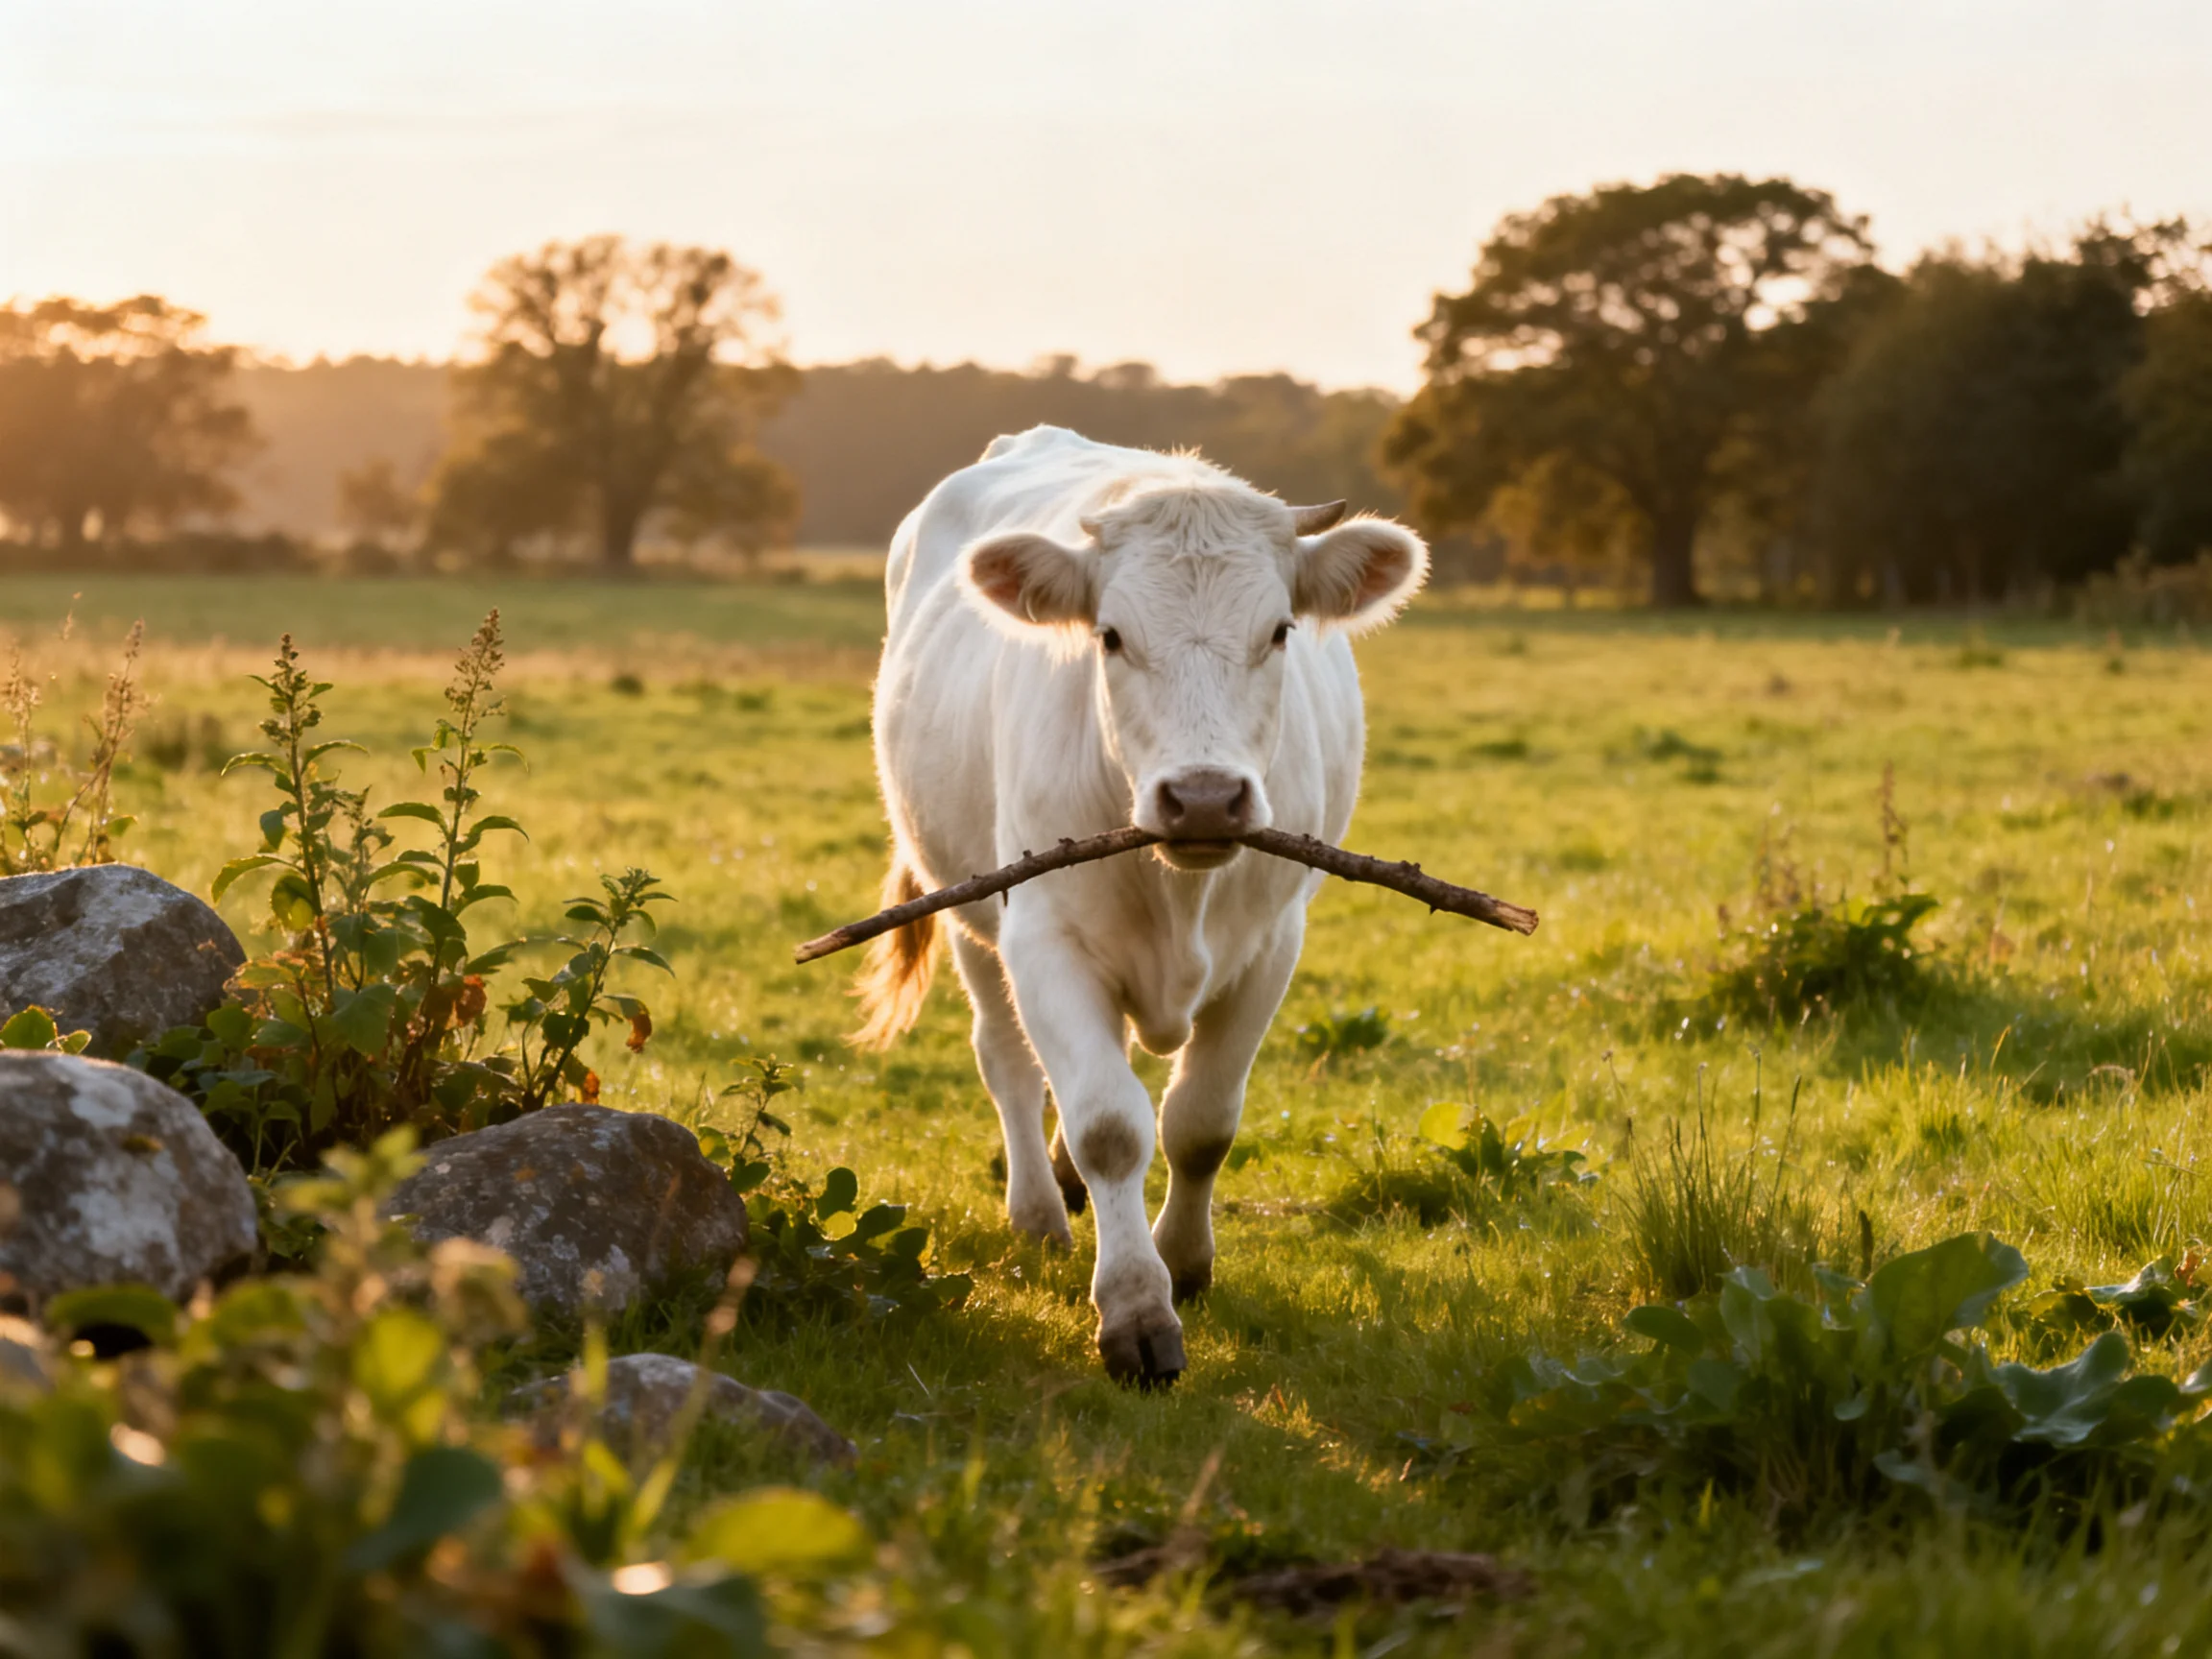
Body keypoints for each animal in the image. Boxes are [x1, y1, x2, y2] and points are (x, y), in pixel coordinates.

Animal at [861, 426, 1429, 1384]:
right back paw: (1039, 1211)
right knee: (1007, 1060)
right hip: (970, 906)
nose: (1202, 798)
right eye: (1112, 636)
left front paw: (1186, 1264)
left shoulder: (1272, 944)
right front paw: (1135, 1311)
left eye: (1279, 631)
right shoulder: (1043, 936)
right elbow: (1109, 1125)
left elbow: (1200, 1123)